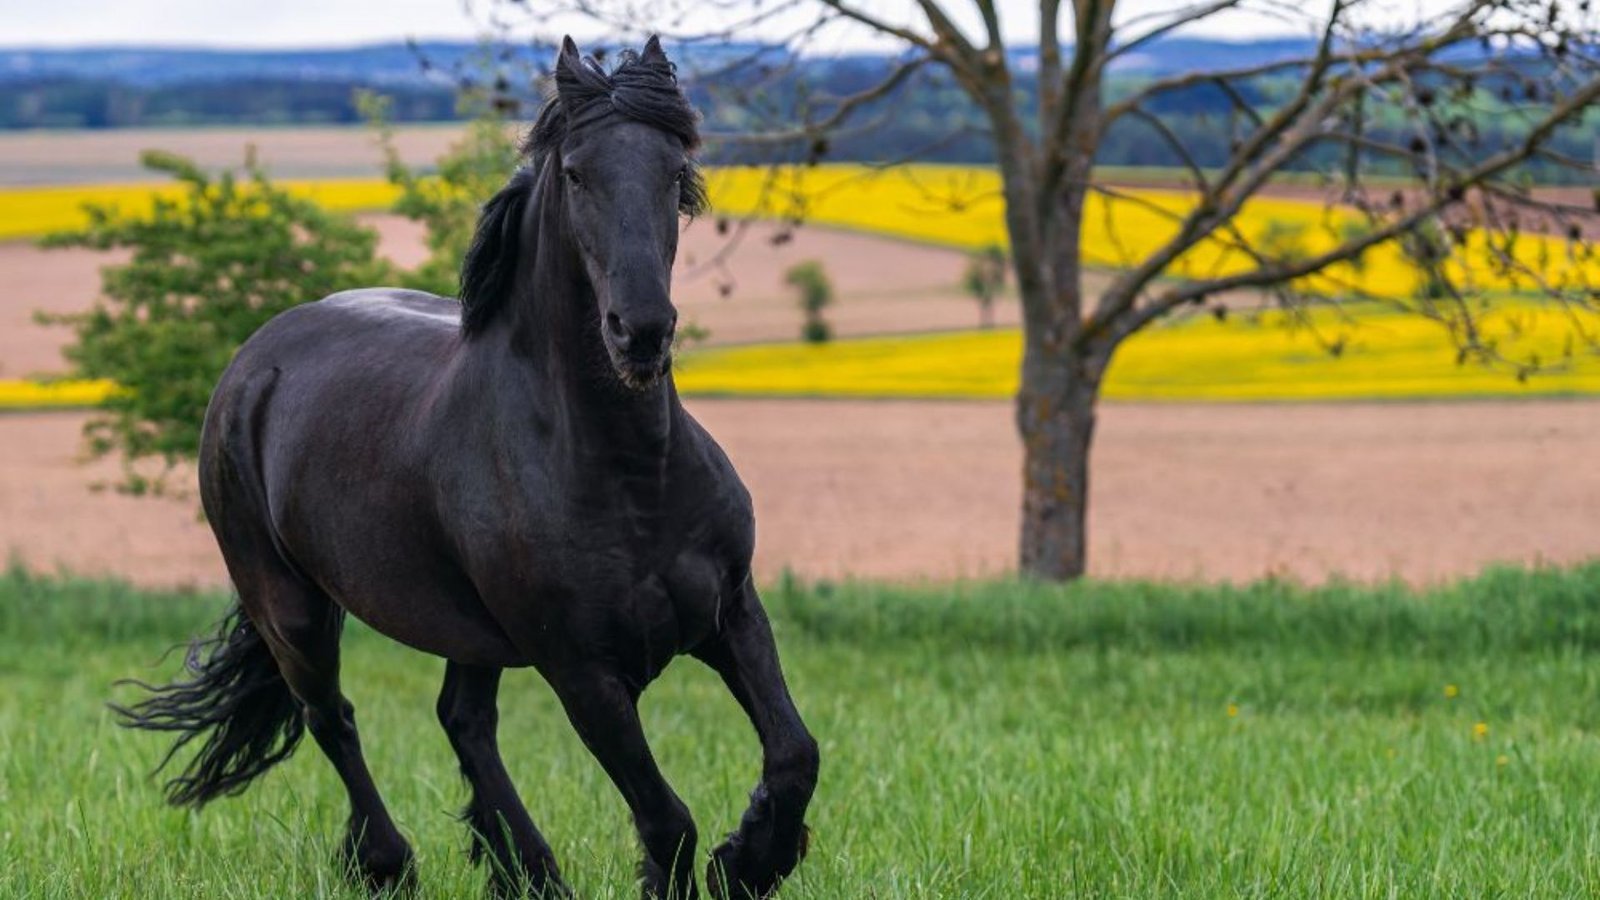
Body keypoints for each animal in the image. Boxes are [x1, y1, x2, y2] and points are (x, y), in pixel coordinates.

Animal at [116, 36, 812, 896]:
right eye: (576, 173)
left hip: (470, 630)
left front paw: (753, 857)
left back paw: (529, 869)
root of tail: (255, 360)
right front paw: (721, 863)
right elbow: (666, 820)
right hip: (291, 604)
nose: (641, 332)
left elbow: (794, 755)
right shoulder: (582, 672)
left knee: (463, 720)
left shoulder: (731, 614)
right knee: (331, 718)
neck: (631, 474)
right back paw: (391, 864)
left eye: (674, 171)